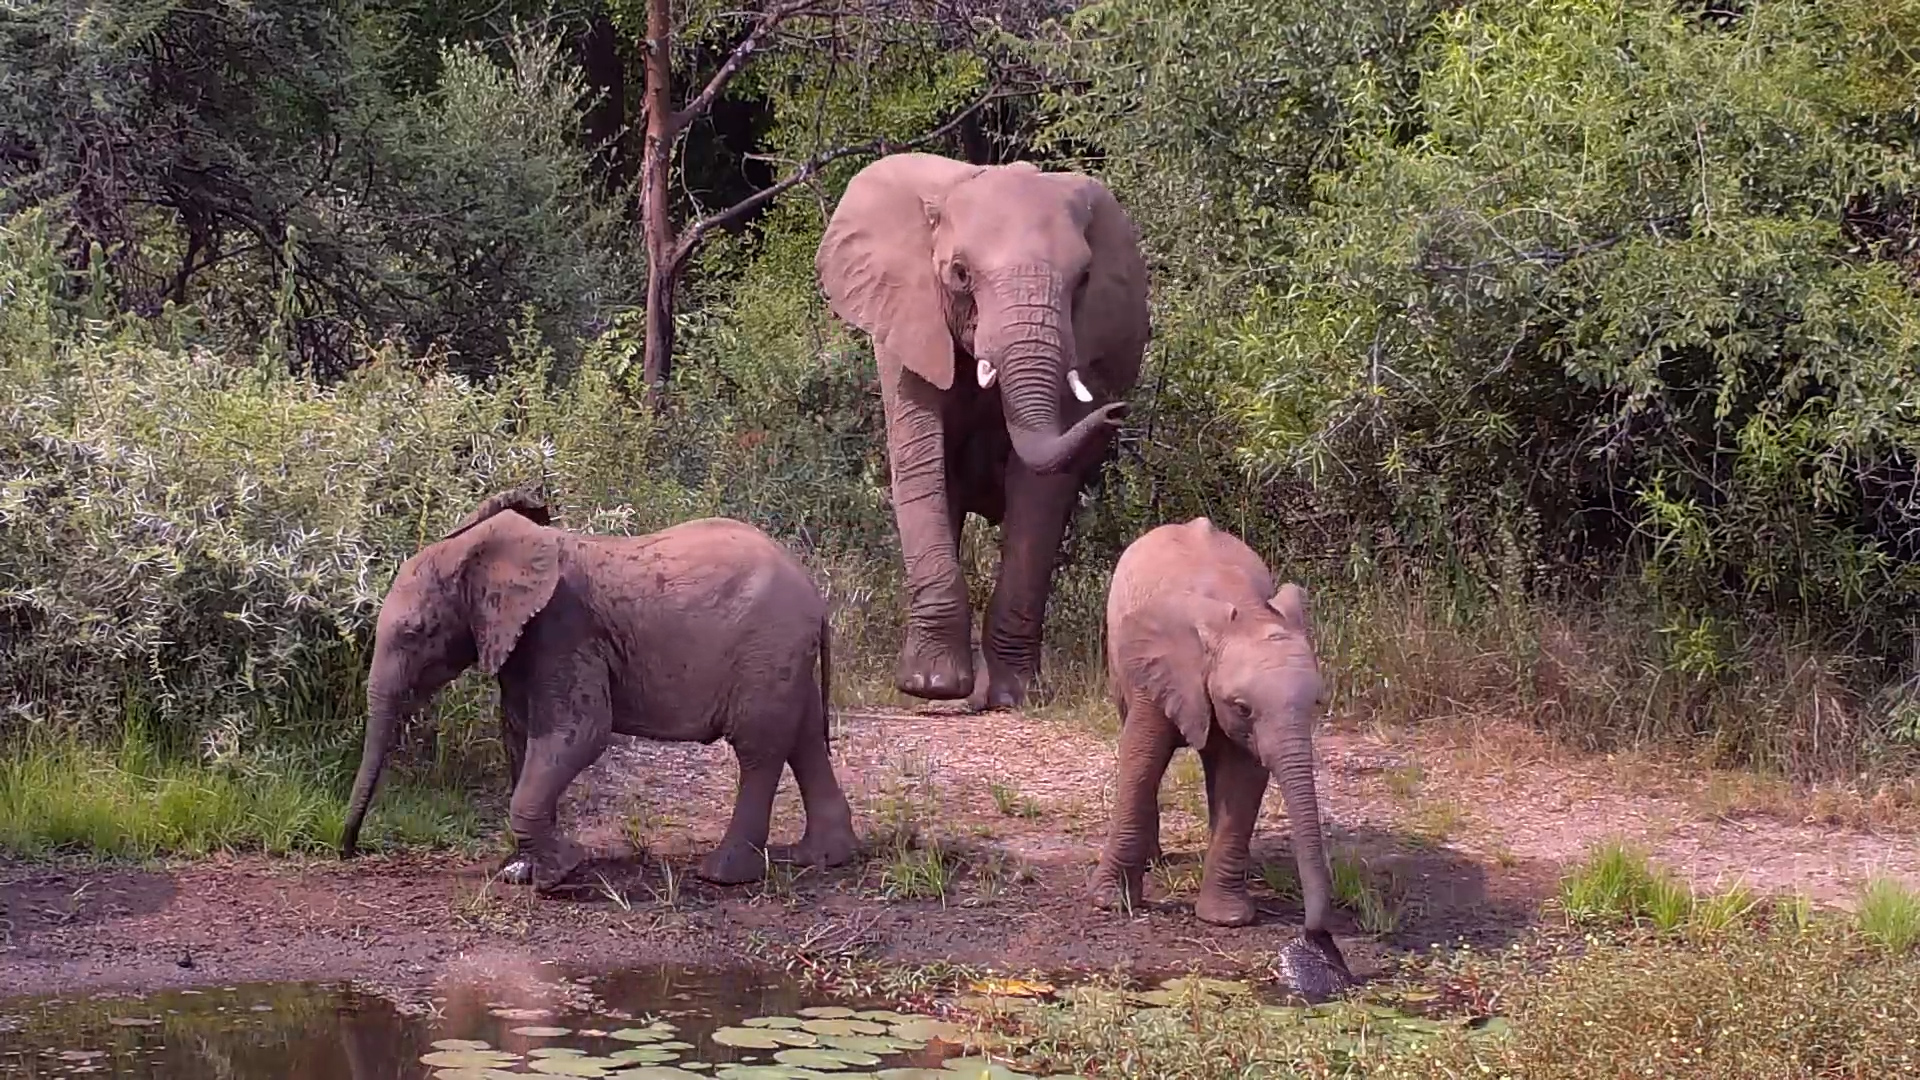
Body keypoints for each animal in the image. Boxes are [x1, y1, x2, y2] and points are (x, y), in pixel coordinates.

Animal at [337, 490, 857, 891]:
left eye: (417, 632)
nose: (349, 850)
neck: (478, 549)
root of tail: (815, 593)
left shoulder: (563, 629)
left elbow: (581, 732)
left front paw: (558, 876)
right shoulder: (525, 642)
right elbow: (520, 734)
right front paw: (523, 871)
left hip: (767, 647)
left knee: (759, 747)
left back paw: (723, 875)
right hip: (782, 654)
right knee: (803, 736)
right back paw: (823, 858)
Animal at [816, 152, 1150, 711]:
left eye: (1083, 279)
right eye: (959, 274)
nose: (1115, 410)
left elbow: (1040, 494)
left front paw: (1015, 696)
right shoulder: (908, 320)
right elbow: (920, 467)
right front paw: (930, 687)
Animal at [1091, 517, 1353, 998]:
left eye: (1316, 704)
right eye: (1242, 706)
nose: (1316, 938)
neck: (1241, 612)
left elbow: (1242, 777)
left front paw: (1227, 919)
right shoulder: (1160, 667)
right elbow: (1139, 758)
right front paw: (1109, 903)